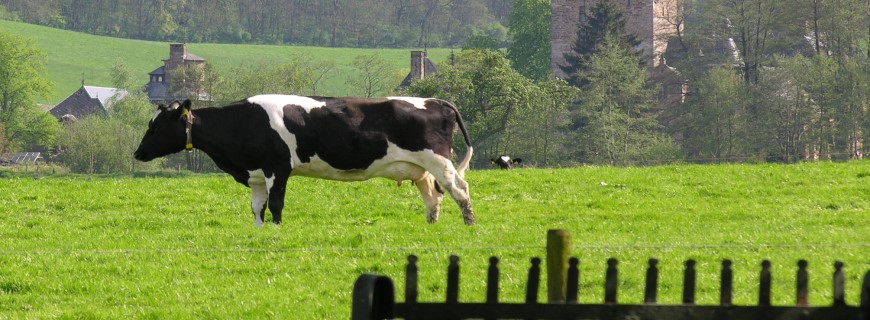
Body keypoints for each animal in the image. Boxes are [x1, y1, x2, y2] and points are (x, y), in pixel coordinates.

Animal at [135, 94, 476, 225]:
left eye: (157, 126)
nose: (137, 153)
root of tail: (435, 100)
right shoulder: (256, 174)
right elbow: (256, 208)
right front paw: (258, 232)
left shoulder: (278, 168)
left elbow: (276, 205)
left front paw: (276, 230)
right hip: (421, 170)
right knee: (433, 197)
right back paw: (431, 226)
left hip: (438, 161)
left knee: (460, 190)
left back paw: (469, 225)